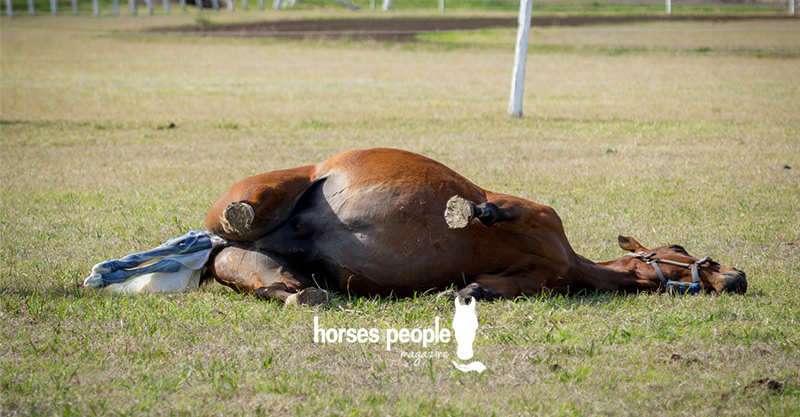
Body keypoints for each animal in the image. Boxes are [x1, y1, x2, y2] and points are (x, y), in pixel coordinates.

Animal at [198, 148, 747, 304]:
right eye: (680, 246)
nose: (738, 277)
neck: (570, 262)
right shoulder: (536, 212)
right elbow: (491, 210)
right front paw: (467, 213)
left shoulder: (529, 281)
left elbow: (483, 288)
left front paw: (457, 293)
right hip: (272, 190)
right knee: (241, 214)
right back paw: (239, 213)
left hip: (264, 266)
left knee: (276, 283)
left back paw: (297, 291)